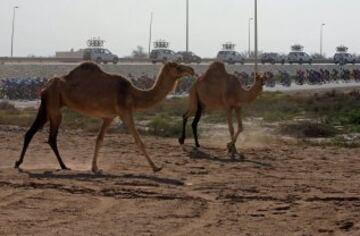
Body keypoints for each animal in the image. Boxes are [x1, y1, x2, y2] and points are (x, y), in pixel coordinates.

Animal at [15, 60, 194, 172]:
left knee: (31, 132)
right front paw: (156, 167)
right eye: (178, 67)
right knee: (51, 137)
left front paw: (94, 167)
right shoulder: (125, 112)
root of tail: (45, 86)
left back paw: (18, 163)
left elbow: (99, 139)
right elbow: (138, 140)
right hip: (54, 106)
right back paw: (64, 166)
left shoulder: (109, 117)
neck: (134, 94)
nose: (191, 70)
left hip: (47, 106)